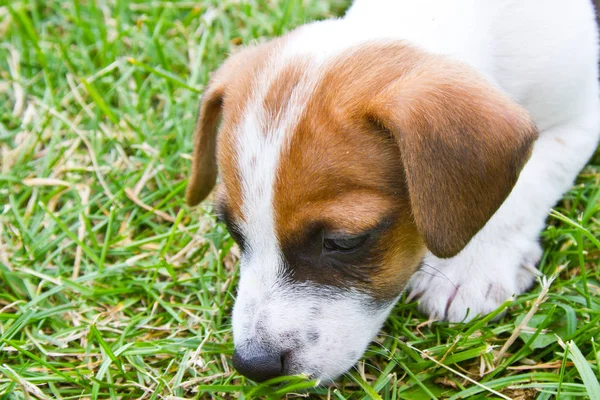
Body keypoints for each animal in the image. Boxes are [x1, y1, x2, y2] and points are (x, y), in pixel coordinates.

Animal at [185, 0, 596, 384]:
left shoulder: (581, 118)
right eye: (233, 231)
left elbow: (529, 183)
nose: (253, 365)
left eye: (343, 242)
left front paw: (471, 268)